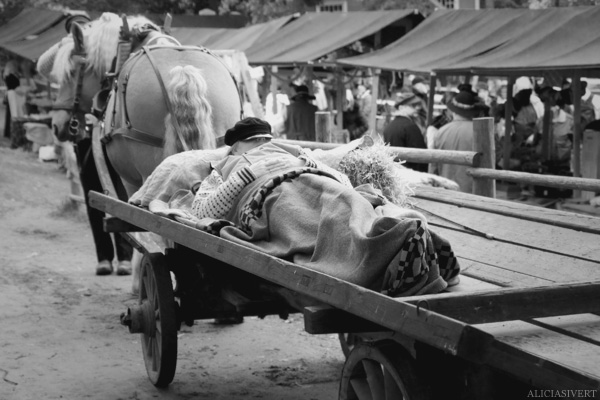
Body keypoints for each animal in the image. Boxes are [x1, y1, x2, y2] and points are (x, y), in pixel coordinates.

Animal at [38, 12, 241, 292]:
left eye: (71, 73)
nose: (57, 125)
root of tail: (183, 71)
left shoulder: (130, 180)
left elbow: (135, 221)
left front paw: (137, 278)